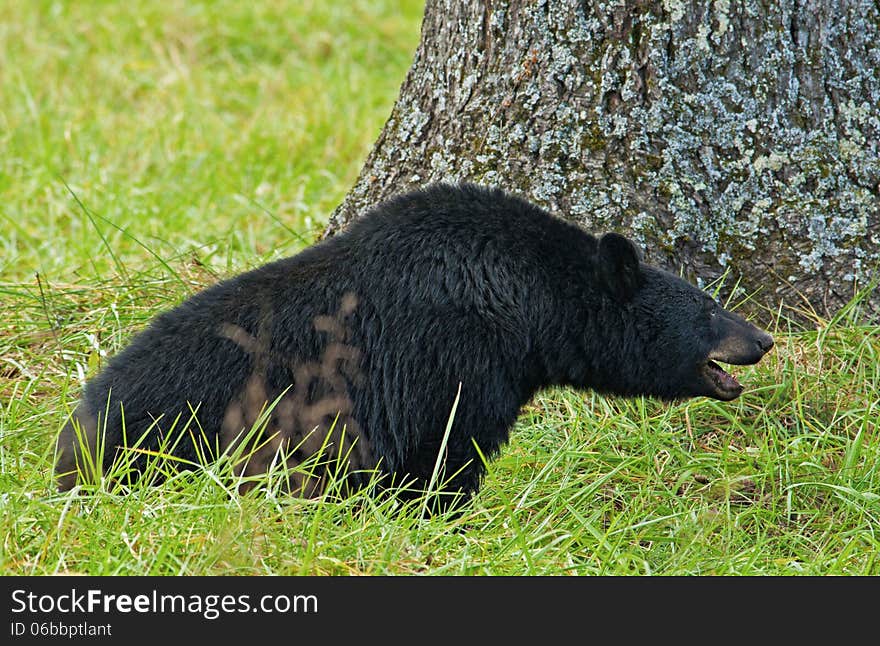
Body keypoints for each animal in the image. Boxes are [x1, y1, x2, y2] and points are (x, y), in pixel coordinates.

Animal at [55, 184, 772, 512]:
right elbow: (444, 448)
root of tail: (73, 433)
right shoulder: (452, 355)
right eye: (709, 309)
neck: (526, 301)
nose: (763, 340)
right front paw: (442, 516)